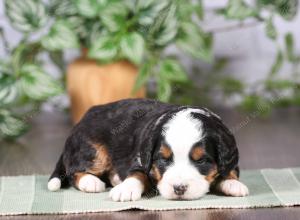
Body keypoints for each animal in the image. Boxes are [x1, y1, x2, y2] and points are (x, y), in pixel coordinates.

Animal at [47, 99, 248, 202]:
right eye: (164, 160)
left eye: (201, 161)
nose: (179, 188)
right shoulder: (139, 158)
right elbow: (137, 174)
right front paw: (126, 189)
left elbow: (230, 170)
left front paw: (233, 184)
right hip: (94, 150)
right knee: (73, 171)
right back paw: (91, 182)